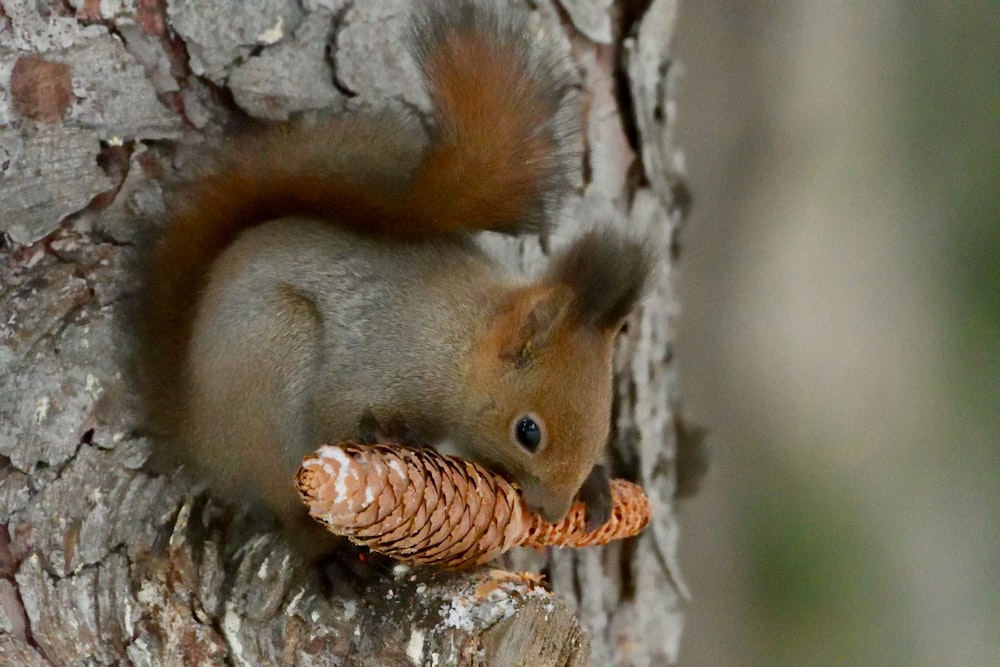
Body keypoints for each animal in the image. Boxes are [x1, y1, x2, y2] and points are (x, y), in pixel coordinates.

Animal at [135, 0, 656, 560]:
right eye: (528, 432)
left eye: (602, 427)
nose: (552, 513)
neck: (462, 337)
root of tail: (194, 428)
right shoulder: (381, 359)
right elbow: (338, 410)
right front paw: (391, 433)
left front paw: (595, 483)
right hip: (268, 361)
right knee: (284, 501)